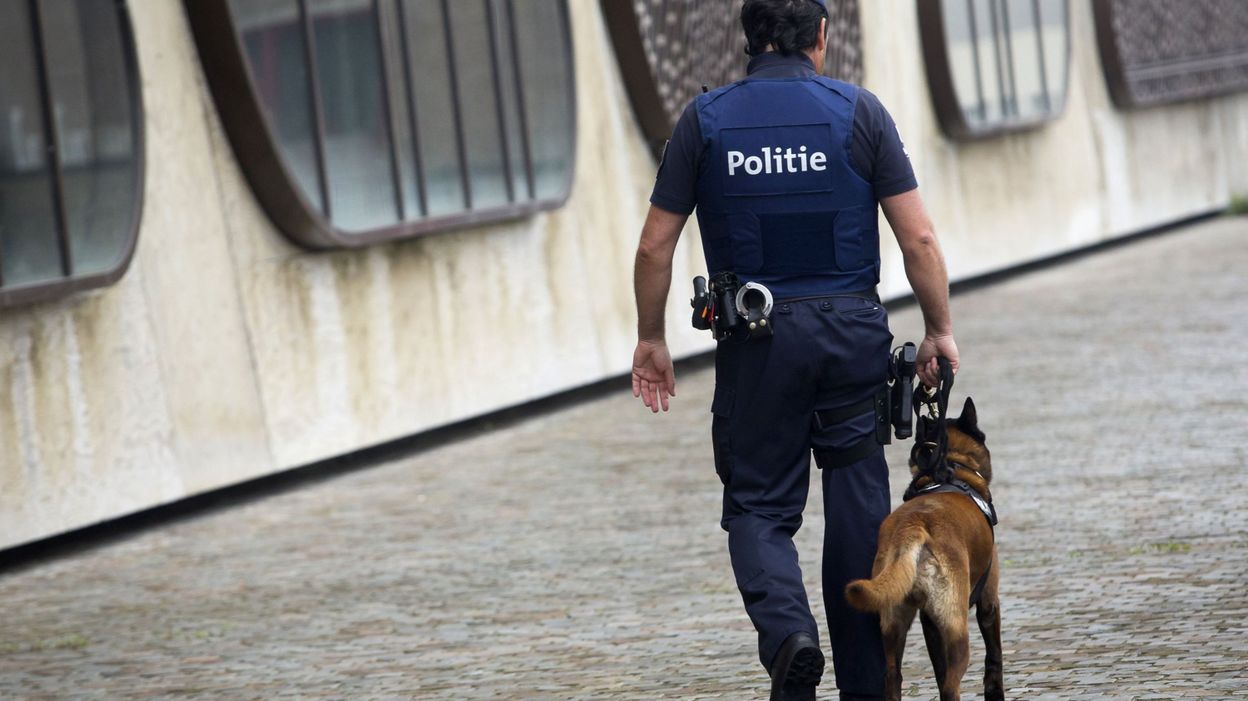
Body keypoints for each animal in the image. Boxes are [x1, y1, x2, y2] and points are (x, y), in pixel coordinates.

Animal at [843, 399, 998, 698]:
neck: (953, 467)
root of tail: (913, 526)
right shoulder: (989, 601)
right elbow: (994, 667)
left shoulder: (928, 621)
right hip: (955, 626)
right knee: (951, 684)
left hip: (894, 625)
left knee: (894, 678)